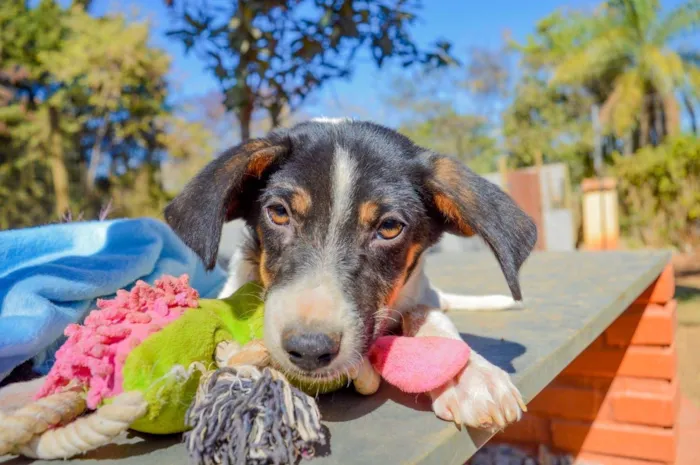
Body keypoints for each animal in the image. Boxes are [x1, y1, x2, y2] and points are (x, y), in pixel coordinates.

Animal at [164, 118, 536, 430]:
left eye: (389, 227)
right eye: (278, 213)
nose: (309, 349)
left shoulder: (415, 295)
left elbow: (428, 315)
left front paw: (471, 375)